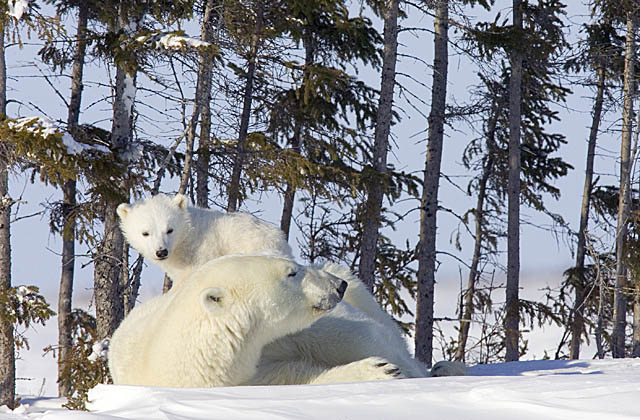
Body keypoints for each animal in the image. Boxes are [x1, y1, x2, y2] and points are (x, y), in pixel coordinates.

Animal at [109, 254, 408, 386]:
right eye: (292, 272)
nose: (338, 286)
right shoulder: (241, 377)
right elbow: (294, 376)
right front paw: (380, 370)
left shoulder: (282, 339)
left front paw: (387, 369)